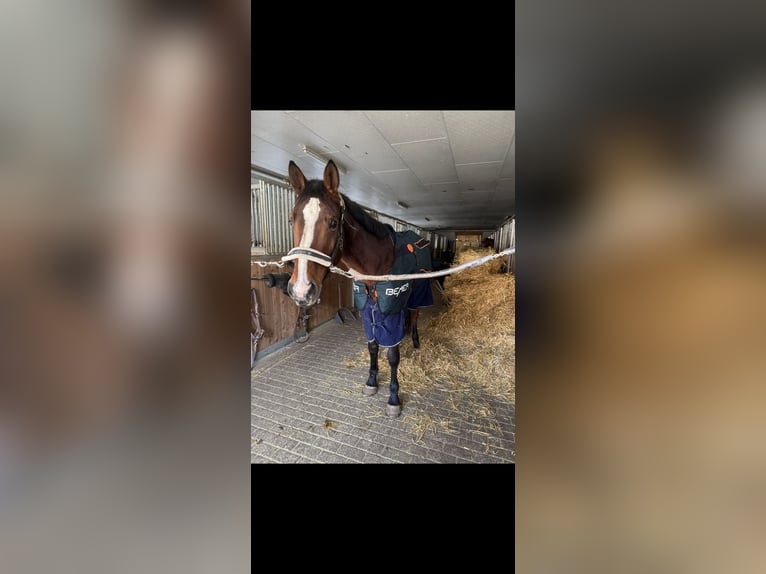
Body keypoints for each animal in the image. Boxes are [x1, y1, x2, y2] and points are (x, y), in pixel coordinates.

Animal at [283, 159, 434, 417]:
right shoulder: (367, 312)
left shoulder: (390, 312)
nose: (302, 290)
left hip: (417, 295)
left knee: (415, 315)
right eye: (292, 220)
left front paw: (394, 398)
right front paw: (372, 381)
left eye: (333, 222)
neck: (378, 264)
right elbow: (372, 346)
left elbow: (393, 355)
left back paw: (414, 341)